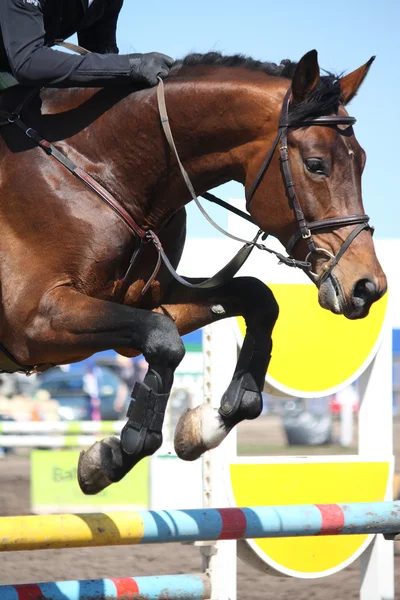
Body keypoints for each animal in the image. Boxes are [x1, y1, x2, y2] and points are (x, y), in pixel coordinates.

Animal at [0, 49, 388, 494]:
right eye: (316, 165)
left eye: (362, 162)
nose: (368, 286)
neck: (101, 169)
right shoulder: (34, 324)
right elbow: (165, 342)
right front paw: (111, 456)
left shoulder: (147, 304)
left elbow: (257, 299)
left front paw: (205, 426)